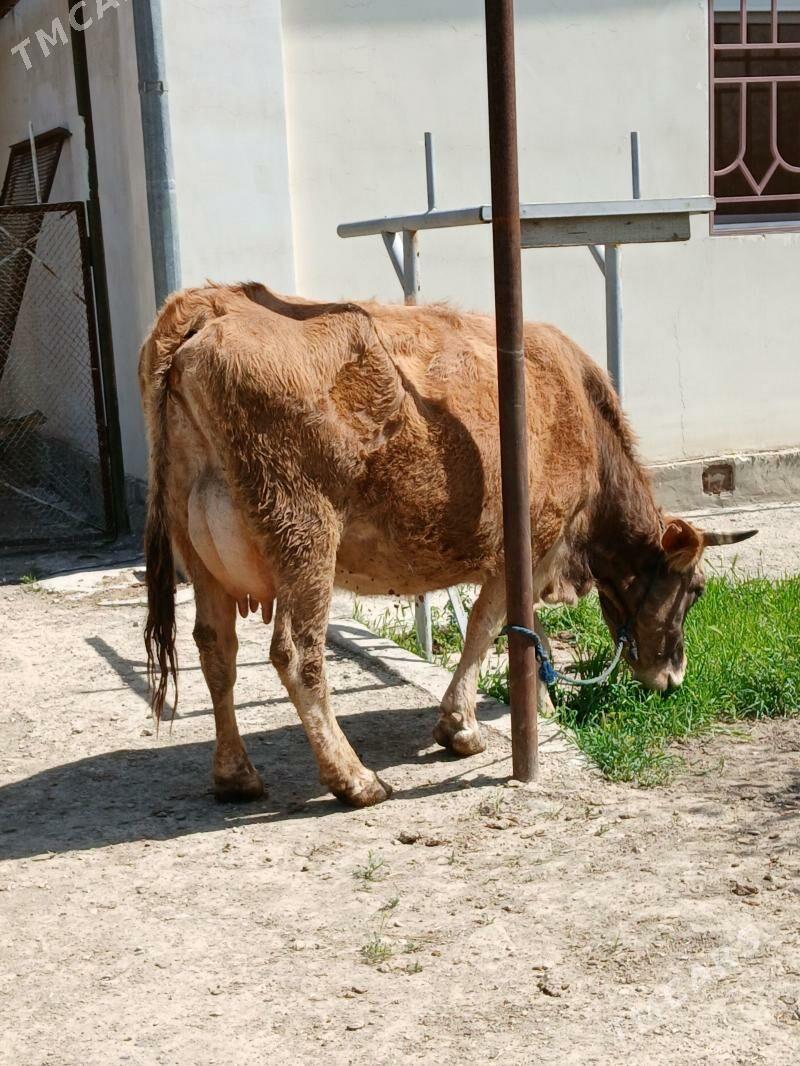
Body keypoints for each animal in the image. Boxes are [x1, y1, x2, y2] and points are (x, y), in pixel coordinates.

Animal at [138, 282, 755, 807]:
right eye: (697, 589)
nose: (672, 679)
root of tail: (210, 303)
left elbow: (520, 631)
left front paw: (536, 701)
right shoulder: (530, 545)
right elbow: (489, 628)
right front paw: (466, 726)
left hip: (198, 546)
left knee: (215, 649)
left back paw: (235, 775)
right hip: (303, 530)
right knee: (296, 652)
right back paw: (354, 779)